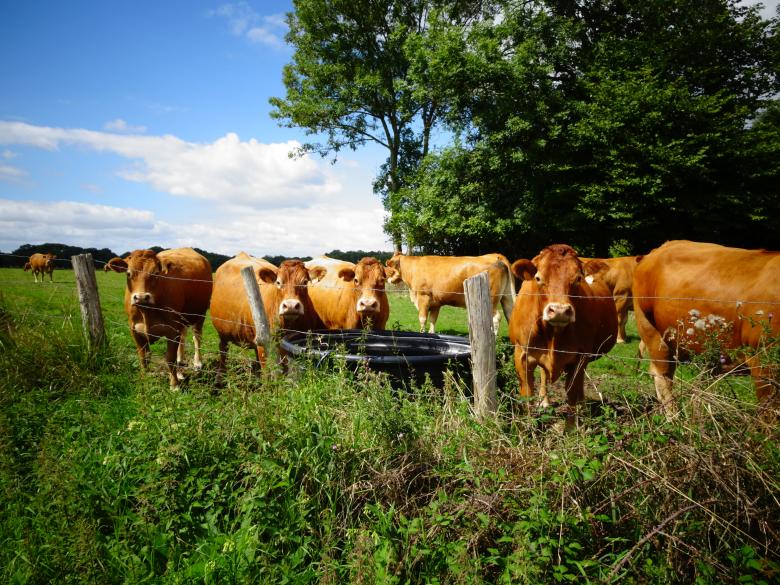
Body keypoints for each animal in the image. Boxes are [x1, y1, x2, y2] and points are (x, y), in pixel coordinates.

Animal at [106, 248, 213, 389]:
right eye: (128, 273)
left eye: (156, 274)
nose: (141, 297)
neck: (146, 312)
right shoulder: (134, 329)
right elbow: (143, 357)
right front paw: (144, 378)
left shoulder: (172, 329)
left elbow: (170, 358)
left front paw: (174, 385)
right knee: (183, 337)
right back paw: (181, 365)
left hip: (200, 314)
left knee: (197, 337)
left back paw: (197, 363)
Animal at [209, 252, 326, 380]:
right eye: (278, 282)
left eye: (304, 282)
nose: (290, 306)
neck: (288, 326)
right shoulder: (264, 345)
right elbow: (267, 374)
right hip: (223, 333)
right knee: (223, 350)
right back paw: (220, 378)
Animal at [385, 252, 516, 335]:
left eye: (388, 265)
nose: (385, 277)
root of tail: (496, 255)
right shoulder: (436, 303)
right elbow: (433, 320)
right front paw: (431, 334)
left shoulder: (423, 297)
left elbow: (423, 319)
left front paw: (422, 333)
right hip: (507, 297)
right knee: (510, 315)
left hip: (492, 299)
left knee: (497, 317)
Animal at [508, 244, 618, 413]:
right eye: (538, 278)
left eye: (578, 279)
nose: (559, 311)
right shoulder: (521, 355)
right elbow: (527, 398)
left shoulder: (580, 357)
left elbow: (572, 394)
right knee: (544, 373)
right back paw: (544, 400)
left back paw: (582, 404)